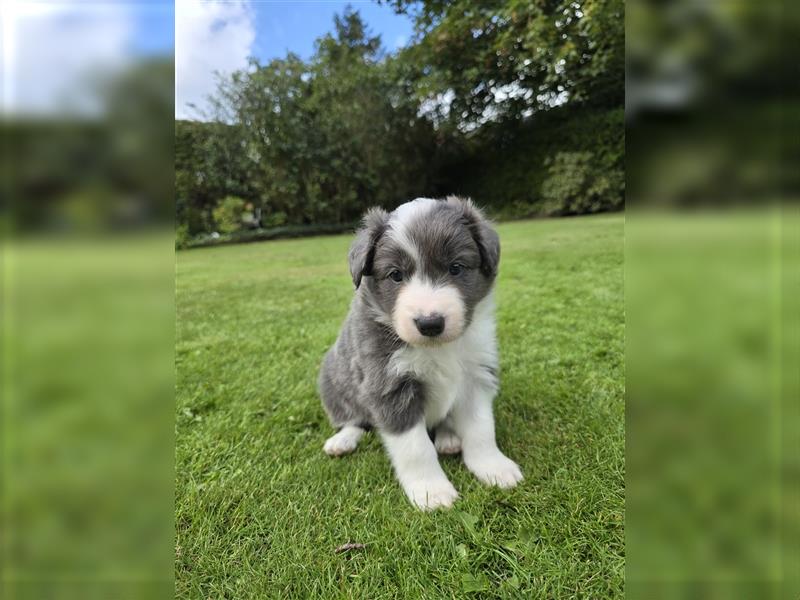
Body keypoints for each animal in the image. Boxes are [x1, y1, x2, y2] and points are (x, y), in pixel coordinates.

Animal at [318, 197, 524, 510]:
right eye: (395, 275)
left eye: (455, 268)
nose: (430, 323)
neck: (437, 349)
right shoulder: (390, 386)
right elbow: (415, 448)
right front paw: (431, 491)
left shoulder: (476, 376)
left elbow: (481, 430)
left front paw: (494, 467)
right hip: (332, 379)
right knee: (354, 419)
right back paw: (343, 440)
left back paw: (449, 438)